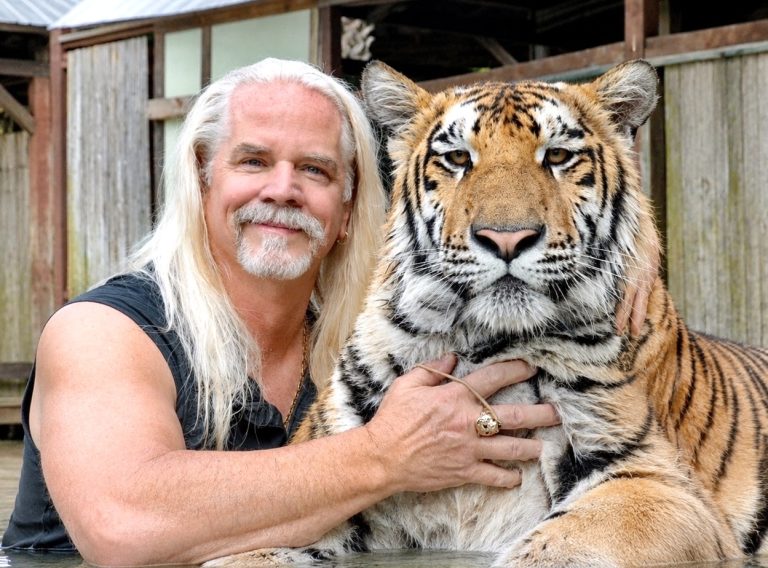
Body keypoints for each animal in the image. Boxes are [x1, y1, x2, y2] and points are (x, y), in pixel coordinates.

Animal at [209, 59, 768, 567]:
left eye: (557, 155)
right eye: (458, 158)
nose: (507, 238)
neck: (480, 344)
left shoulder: (653, 480)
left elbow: (555, 549)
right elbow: (250, 551)